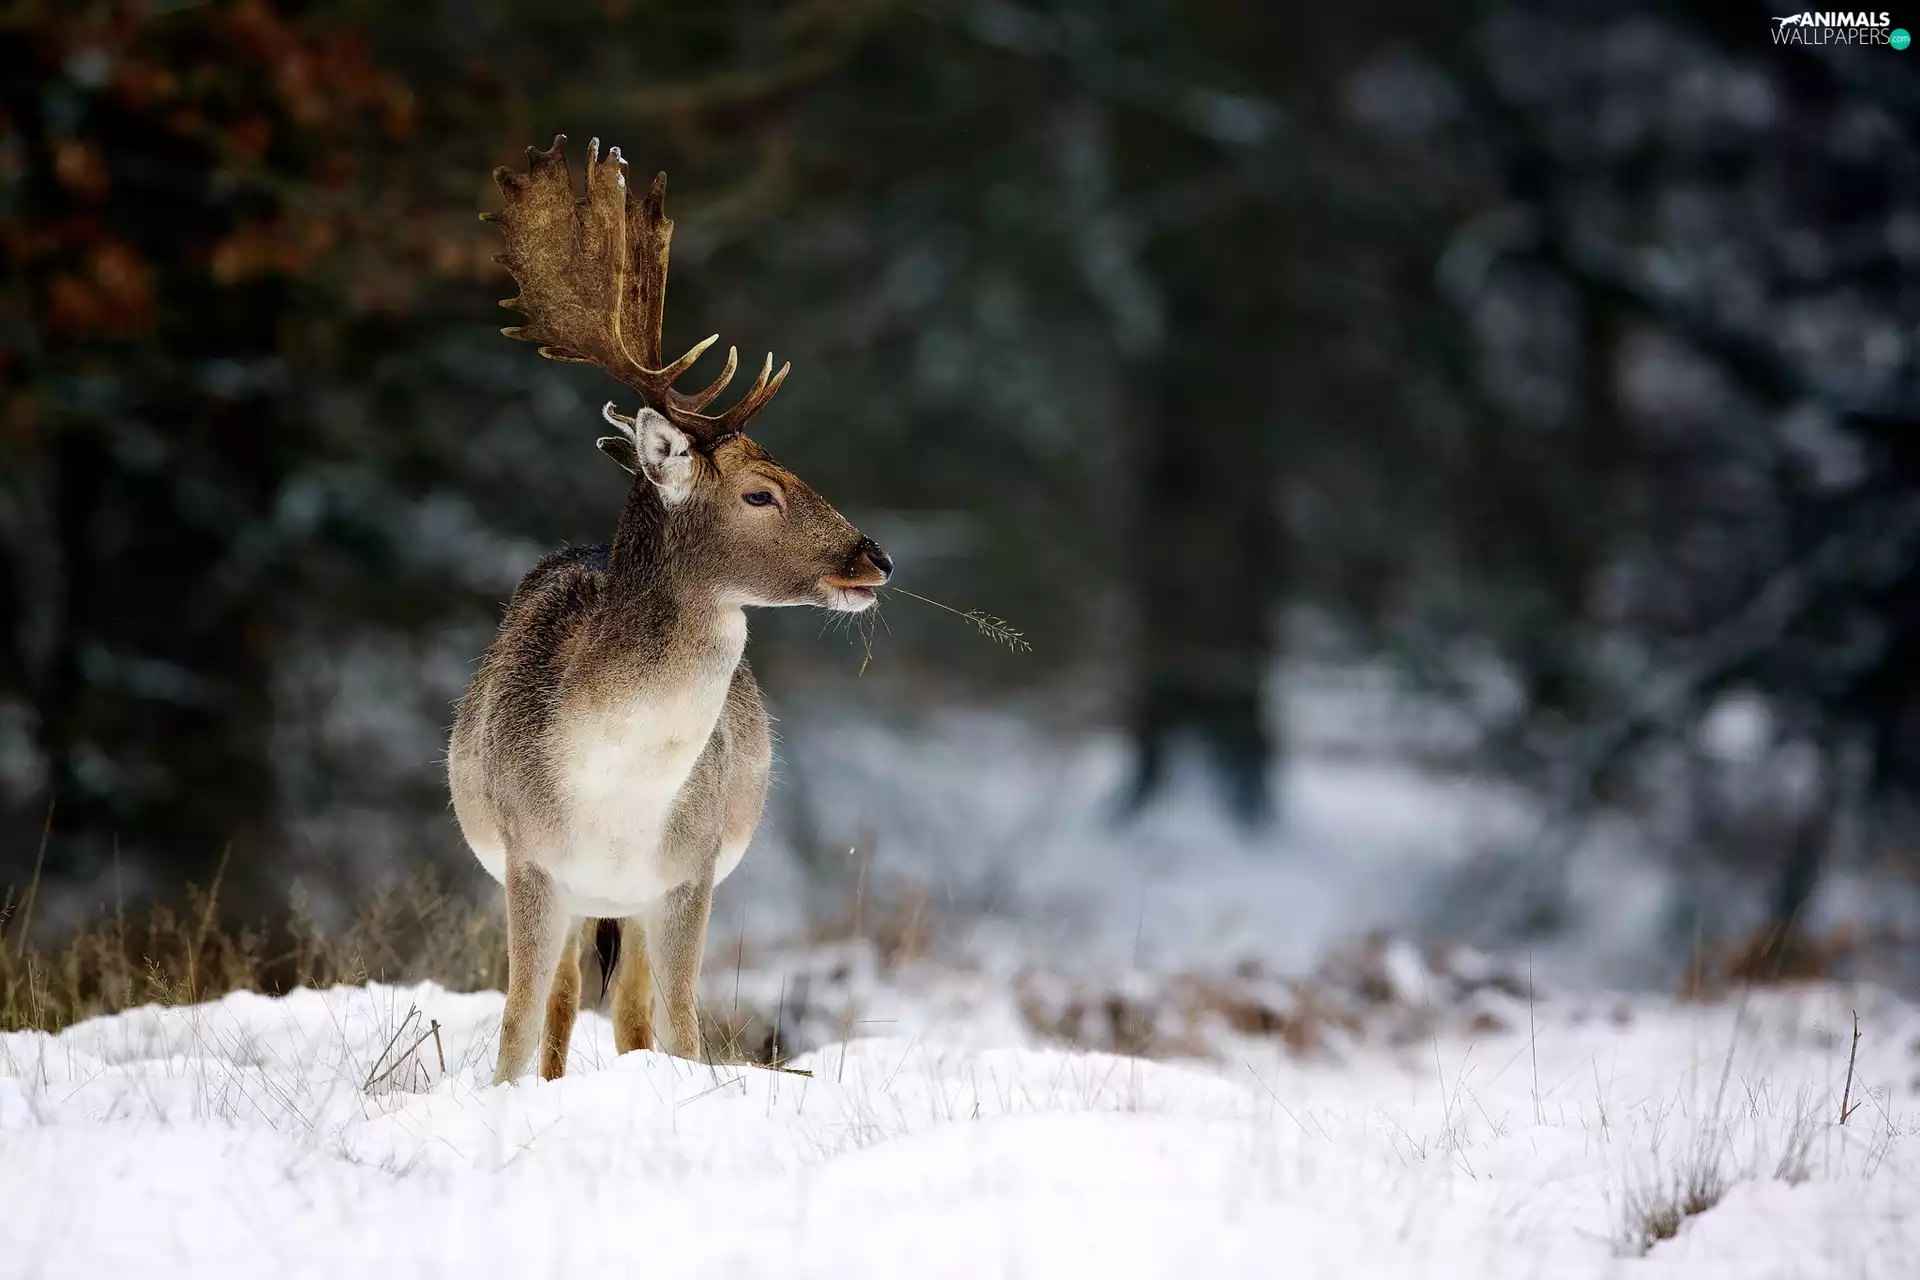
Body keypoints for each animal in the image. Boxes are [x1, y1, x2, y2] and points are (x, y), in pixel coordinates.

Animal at [448, 136, 892, 1085]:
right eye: (761, 492)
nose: (873, 557)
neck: (618, 790)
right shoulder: (529, 861)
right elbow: (515, 1023)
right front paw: (505, 1095)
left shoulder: (690, 871)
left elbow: (683, 1026)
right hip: (570, 894)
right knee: (564, 1003)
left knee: (631, 1012)